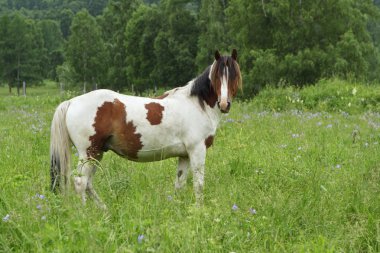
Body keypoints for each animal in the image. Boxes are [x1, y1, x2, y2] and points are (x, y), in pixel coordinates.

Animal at [49, 49, 240, 208]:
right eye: (217, 77)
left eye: (234, 76)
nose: (224, 104)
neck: (196, 104)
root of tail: (71, 101)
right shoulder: (197, 150)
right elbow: (198, 185)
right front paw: (200, 210)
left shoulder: (184, 155)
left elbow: (180, 184)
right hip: (88, 153)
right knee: (80, 183)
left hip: (97, 154)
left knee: (88, 183)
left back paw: (104, 210)